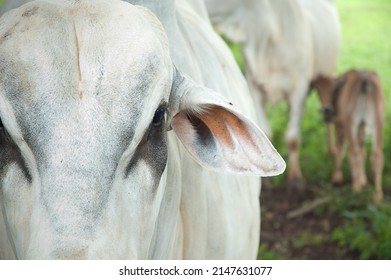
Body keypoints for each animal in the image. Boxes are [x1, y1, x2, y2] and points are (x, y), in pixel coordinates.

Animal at [207, 0, 342, 187]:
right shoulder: (254, 88)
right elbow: (264, 132)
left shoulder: (299, 90)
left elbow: (292, 139)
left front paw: (295, 179)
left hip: (328, 75)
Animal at [316, 69, 386, 201]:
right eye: (318, 91)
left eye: (333, 90)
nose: (326, 110)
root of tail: (364, 79)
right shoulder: (362, 128)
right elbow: (363, 151)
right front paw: (363, 180)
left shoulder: (341, 126)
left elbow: (340, 149)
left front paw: (337, 178)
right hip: (378, 122)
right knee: (376, 155)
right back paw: (377, 195)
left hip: (350, 123)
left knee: (353, 152)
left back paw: (356, 188)